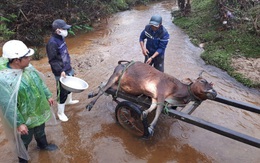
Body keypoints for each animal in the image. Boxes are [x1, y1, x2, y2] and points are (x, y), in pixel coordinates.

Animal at [86, 60, 217, 136]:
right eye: (202, 81)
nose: (214, 92)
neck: (176, 91)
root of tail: (122, 63)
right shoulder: (161, 94)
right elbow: (158, 111)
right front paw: (151, 128)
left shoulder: (155, 97)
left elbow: (153, 107)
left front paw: (144, 113)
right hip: (116, 75)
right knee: (103, 89)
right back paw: (90, 104)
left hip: (119, 84)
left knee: (103, 86)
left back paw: (91, 93)